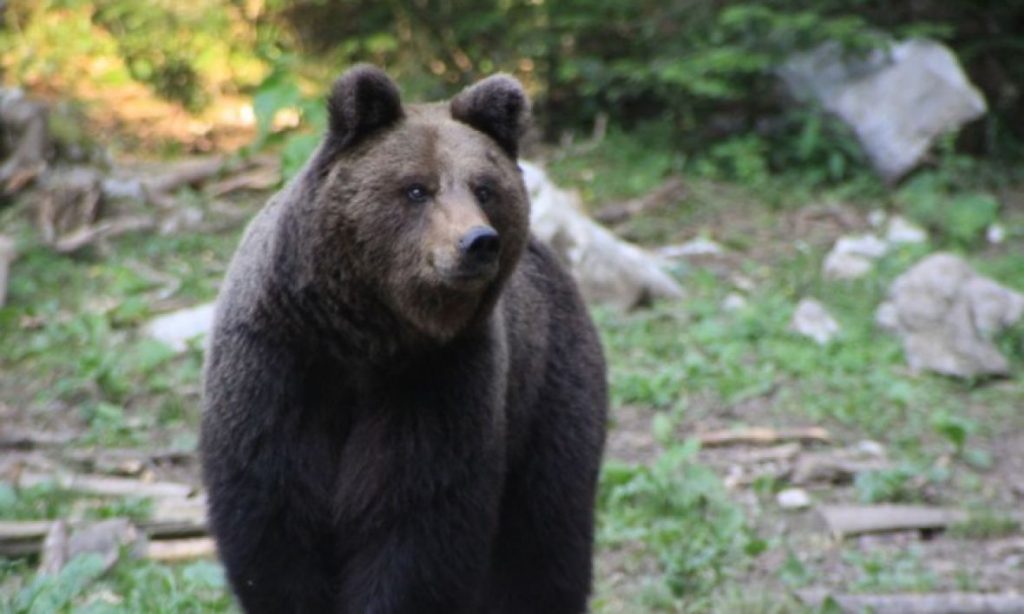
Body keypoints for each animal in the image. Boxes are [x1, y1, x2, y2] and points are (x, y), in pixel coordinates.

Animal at [199, 67, 606, 614]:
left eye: (484, 188)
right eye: (416, 188)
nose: (478, 242)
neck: (365, 336)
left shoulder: (439, 381)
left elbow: (413, 524)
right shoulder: (277, 367)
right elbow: (275, 527)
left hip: (547, 393)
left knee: (543, 538)